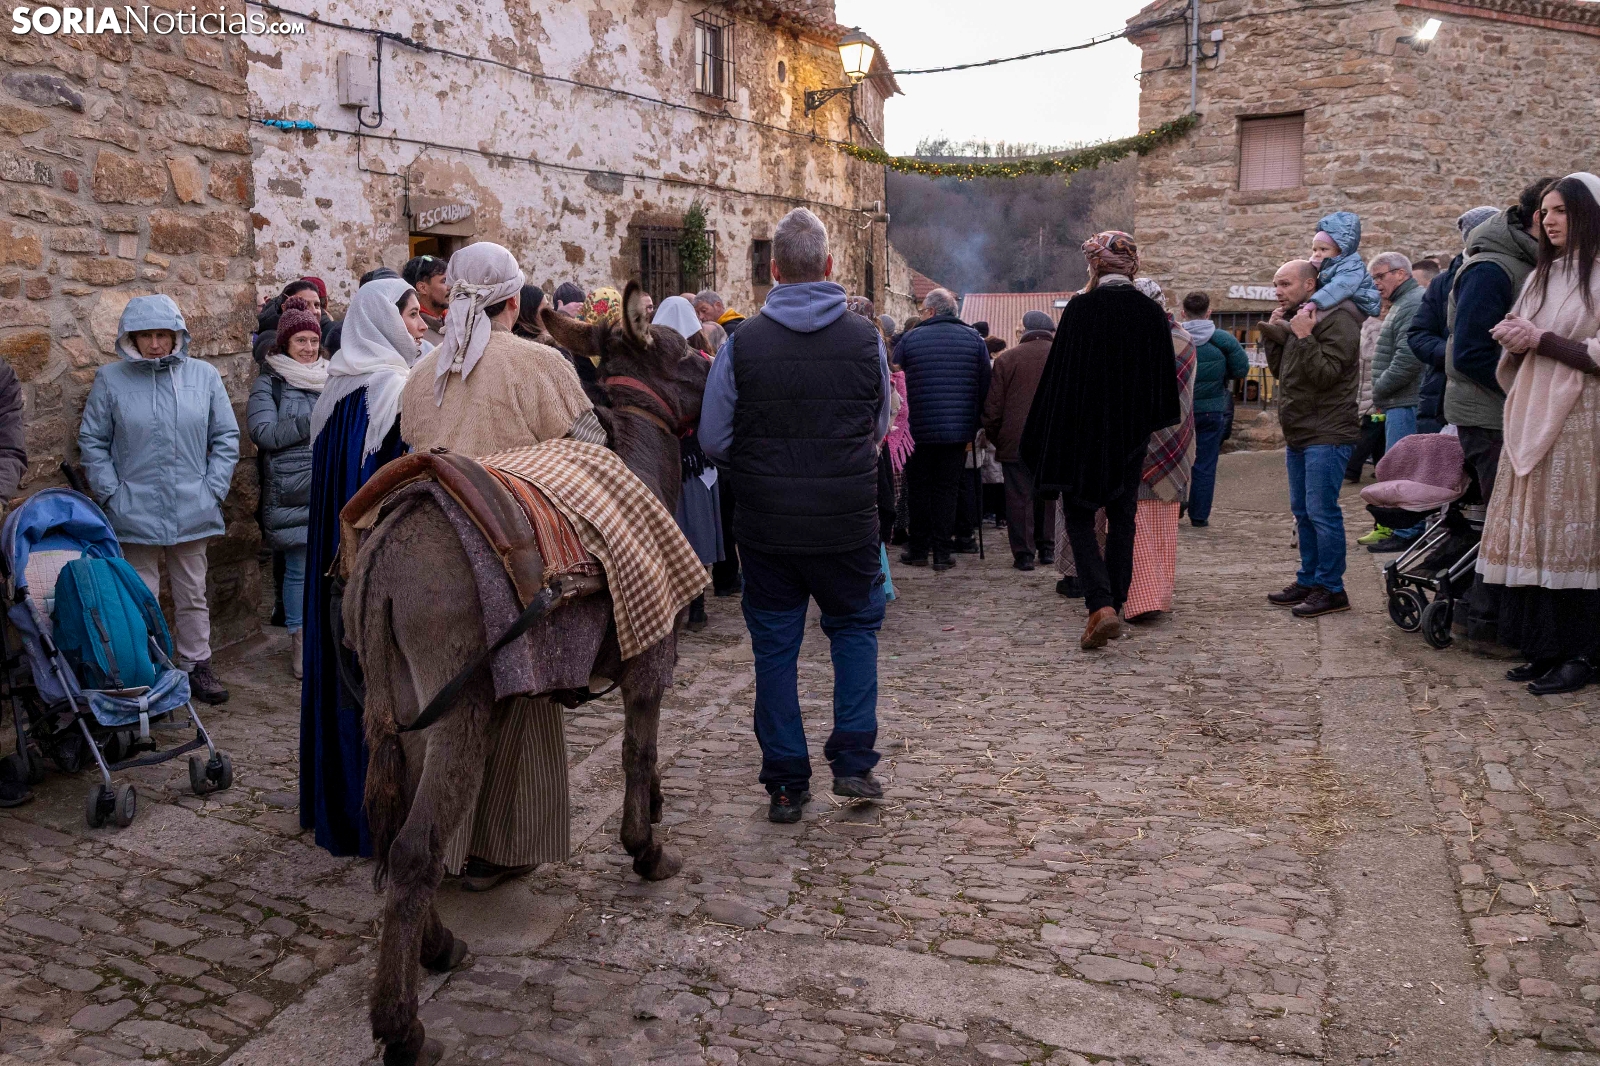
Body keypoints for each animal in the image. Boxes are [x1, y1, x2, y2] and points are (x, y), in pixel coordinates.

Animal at [344, 283, 709, 1066]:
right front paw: (646, 846)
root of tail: (388, 549)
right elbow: (640, 750)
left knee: (400, 835)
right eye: (689, 351)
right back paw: (404, 1026)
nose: (726, 362)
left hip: (407, 711)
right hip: (460, 711)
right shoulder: (651, 654)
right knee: (416, 849)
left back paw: (441, 945)